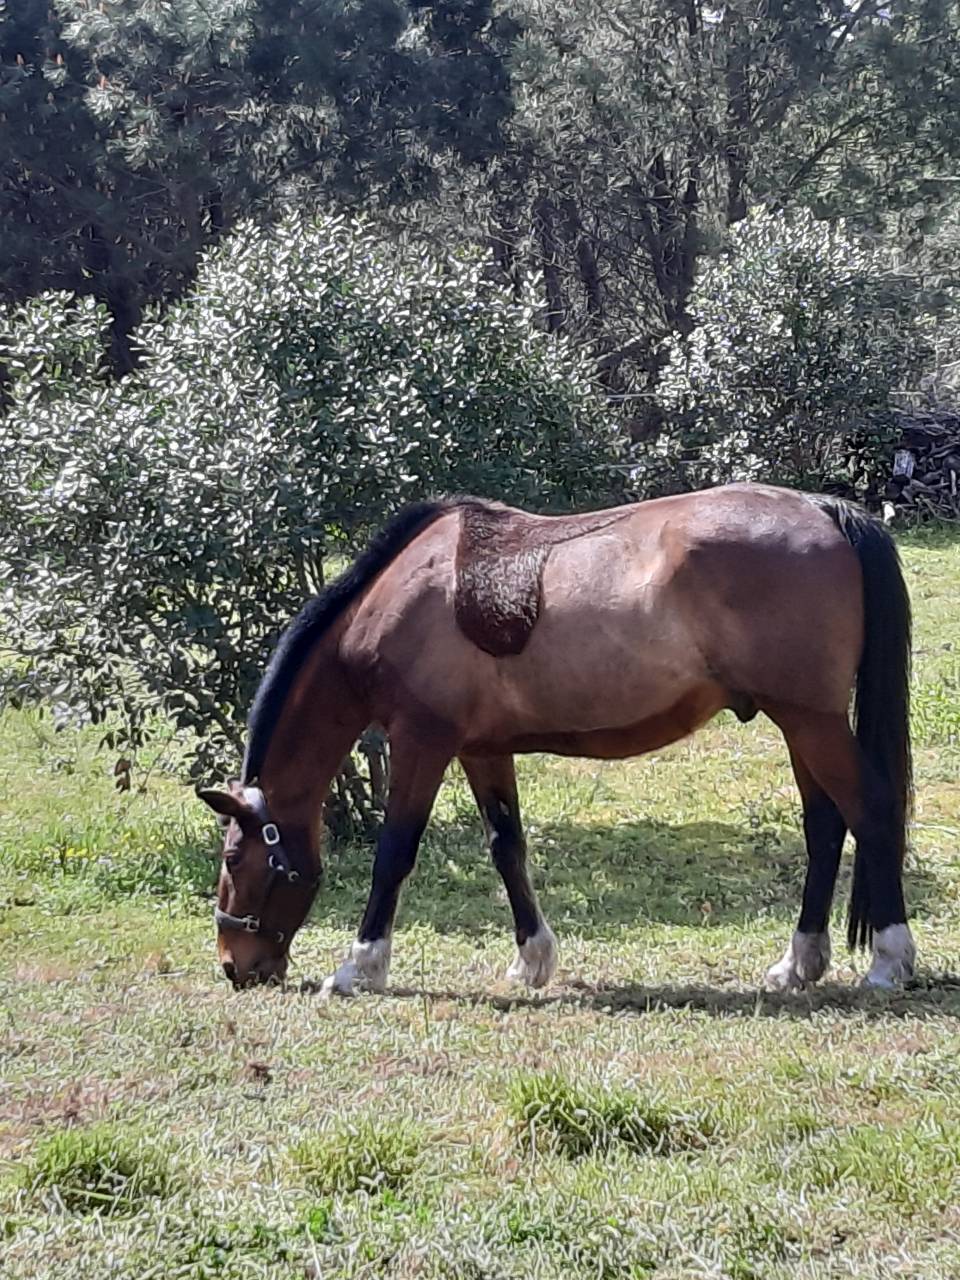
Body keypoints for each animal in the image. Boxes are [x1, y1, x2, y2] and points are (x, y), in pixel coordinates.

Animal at [199, 483, 914, 995]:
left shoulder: (422, 743)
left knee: (871, 810)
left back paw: (889, 959)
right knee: (825, 826)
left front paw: (359, 967)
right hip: (799, 722)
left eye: (235, 858)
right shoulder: (482, 749)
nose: (236, 966)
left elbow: (394, 853)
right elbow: (506, 846)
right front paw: (532, 961)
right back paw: (798, 965)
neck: (398, 598)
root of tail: (822, 509)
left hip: (810, 719)